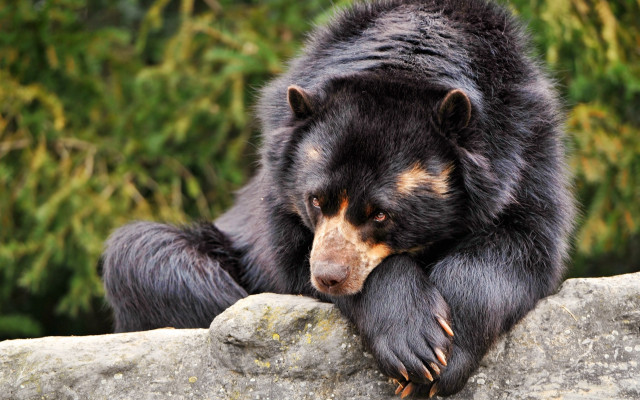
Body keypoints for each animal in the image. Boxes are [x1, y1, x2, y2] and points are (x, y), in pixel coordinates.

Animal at [101, 0, 574, 397]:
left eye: (381, 214)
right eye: (315, 200)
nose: (328, 275)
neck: (408, 62)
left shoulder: (526, 149)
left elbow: (522, 244)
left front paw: (443, 358)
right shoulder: (278, 183)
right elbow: (291, 259)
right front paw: (415, 346)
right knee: (144, 255)